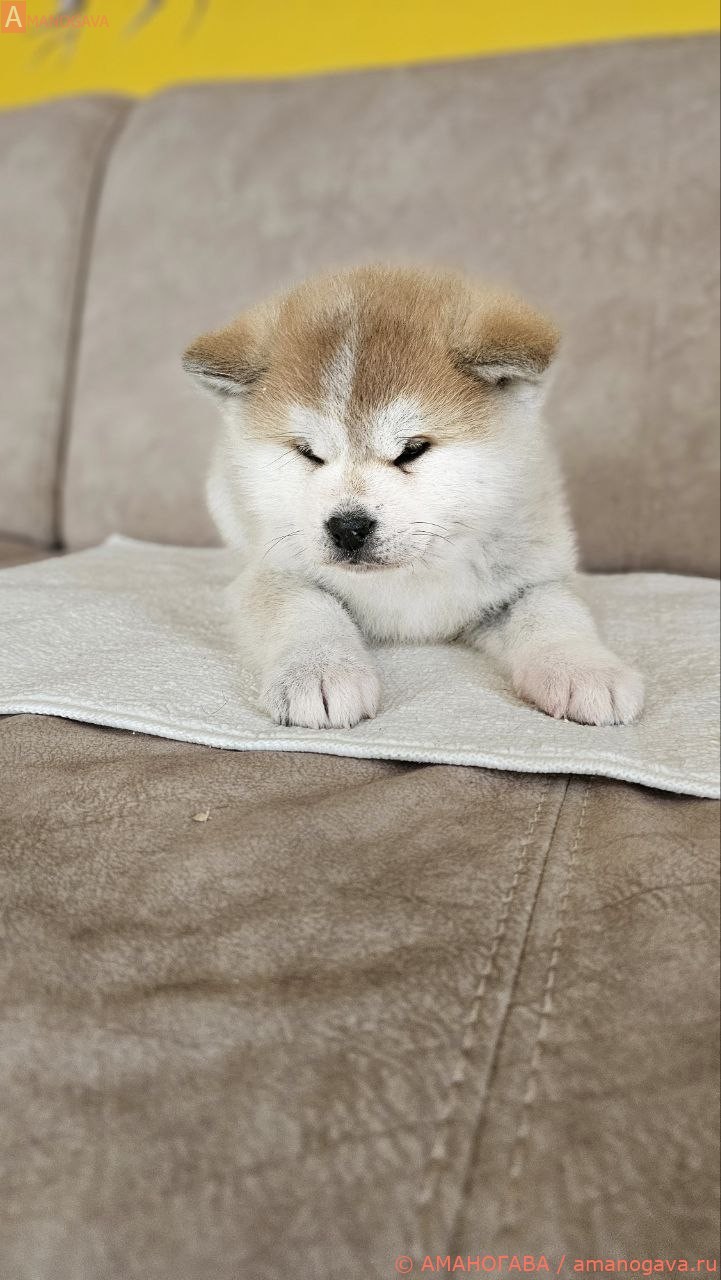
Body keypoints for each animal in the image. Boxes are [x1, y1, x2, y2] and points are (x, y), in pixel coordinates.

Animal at [183, 265, 643, 730]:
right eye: (309, 453)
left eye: (412, 450)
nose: (347, 527)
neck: (413, 574)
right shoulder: (273, 568)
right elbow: (302, 605)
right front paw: (318, 669)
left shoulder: (531, 572)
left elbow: (552, 608)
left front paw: (582, 669)